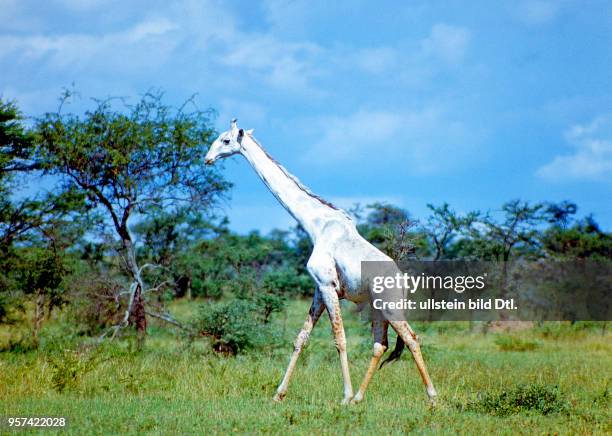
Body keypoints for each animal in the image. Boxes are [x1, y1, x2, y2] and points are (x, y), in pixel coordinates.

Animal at [208, 120, 438, 406]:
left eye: (226, 140)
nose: (207, 158)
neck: (317, 226)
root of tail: (404, 282)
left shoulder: (328, 285)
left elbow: (340, 339)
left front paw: (343, 396)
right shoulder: (319, 289)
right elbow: (301, 338)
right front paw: (278, 394)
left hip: (390, 306)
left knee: (412, 339)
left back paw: (431, 398)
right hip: (377, 309)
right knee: (380, 344)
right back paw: (359, 398)